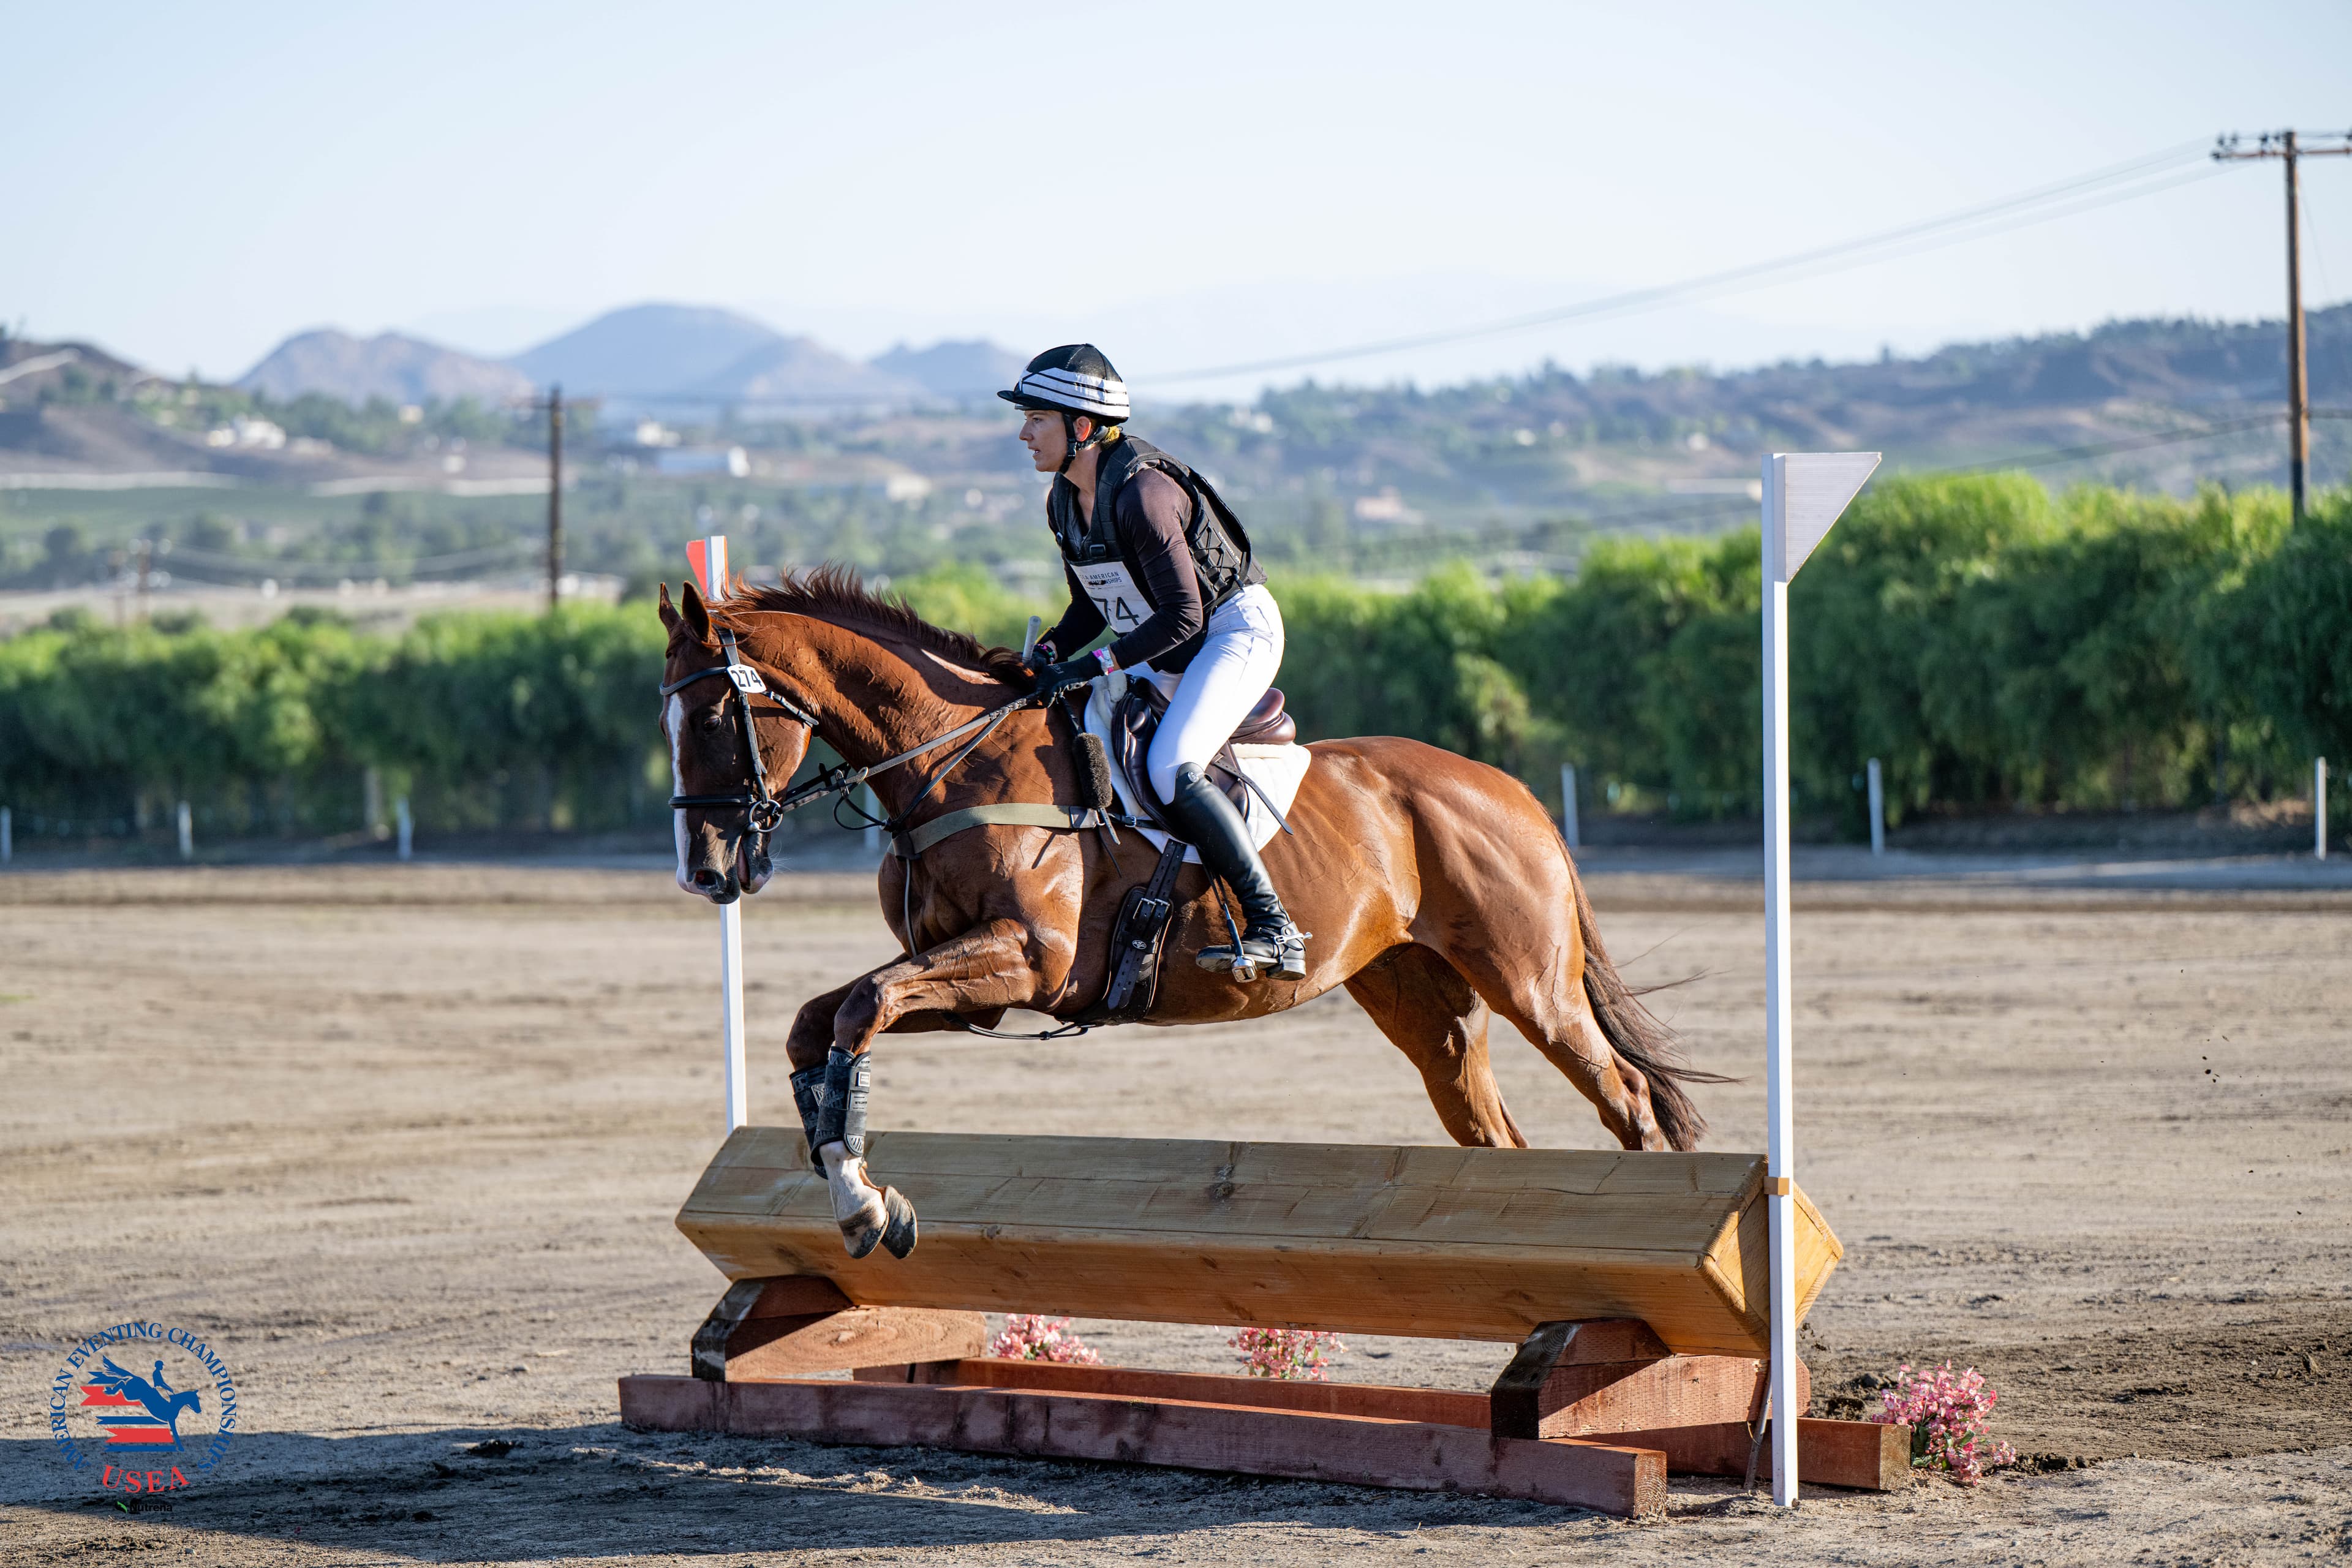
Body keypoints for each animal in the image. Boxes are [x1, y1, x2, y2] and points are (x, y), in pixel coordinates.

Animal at [657, 568, 1720, 1253]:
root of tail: (1514, 792)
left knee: (1627, 1098)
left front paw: (867, 1205)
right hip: (1423, 1002)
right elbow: (824, 1025)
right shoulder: (972, 988)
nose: (706, 873)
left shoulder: (1025, 959)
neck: (956, 760)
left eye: (710, 716)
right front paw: (856, 1187)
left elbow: (858, 1010)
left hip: (1530, 981)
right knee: (1492, 1130)